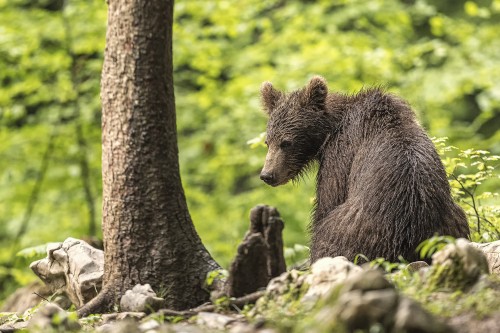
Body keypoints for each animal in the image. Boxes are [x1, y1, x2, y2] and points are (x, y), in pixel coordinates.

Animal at [260, 76, 470, 262]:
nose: (267, 174)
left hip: (356, 228)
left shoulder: (342, 153)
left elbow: (329, 199)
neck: (330, 129)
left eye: (286, 142)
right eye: (267, 142)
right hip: (452, 221)